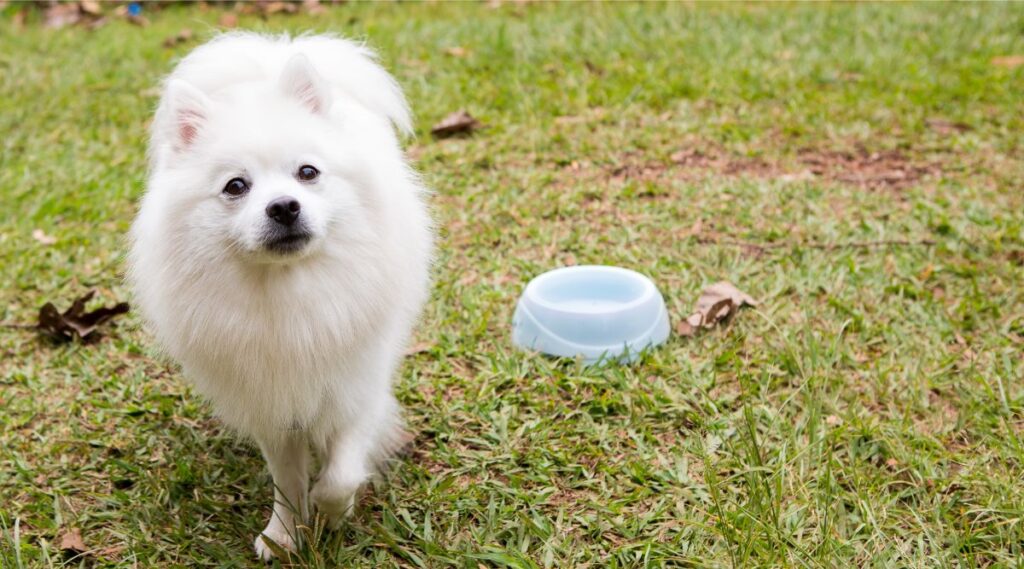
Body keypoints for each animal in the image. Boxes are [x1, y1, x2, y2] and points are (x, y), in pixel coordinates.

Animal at [129, 32, 432, 560]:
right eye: (236, 186)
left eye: (307, 173)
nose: (284, 206)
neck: (288, 291)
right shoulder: (271, 403)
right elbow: (287, 480)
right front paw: (285, 533)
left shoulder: (356, 387)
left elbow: (340, 473)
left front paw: (333, 512)